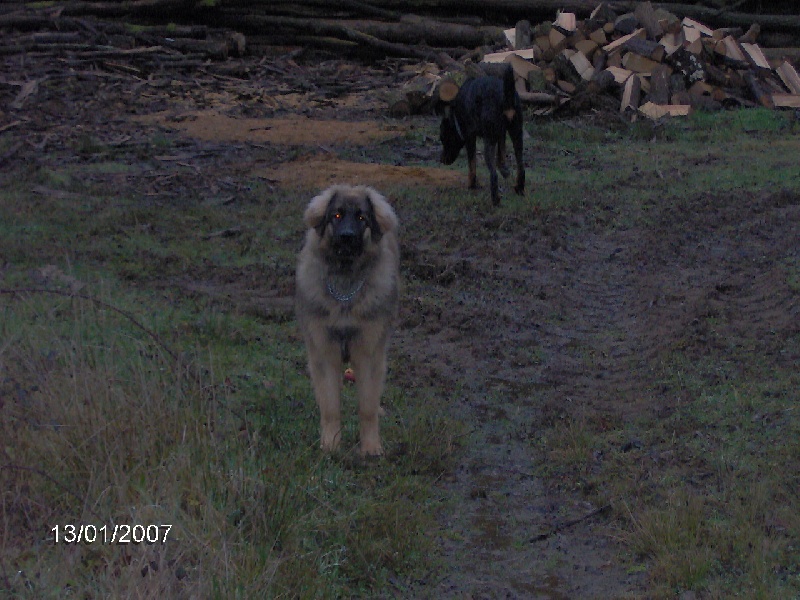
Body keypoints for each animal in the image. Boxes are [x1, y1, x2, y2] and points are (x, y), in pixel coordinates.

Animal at [438, 64, 524, 206]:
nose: (442, 160)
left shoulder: (470, 138)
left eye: (443, 139)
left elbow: (472, 165)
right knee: (521, 167)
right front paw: (504, 170)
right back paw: (519, 188)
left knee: (493, 175)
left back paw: (495, 200)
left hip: (488, 143)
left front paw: (471, 184)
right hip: (517, 135)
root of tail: (505, 97)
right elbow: (501, 154)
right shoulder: (501, 133)